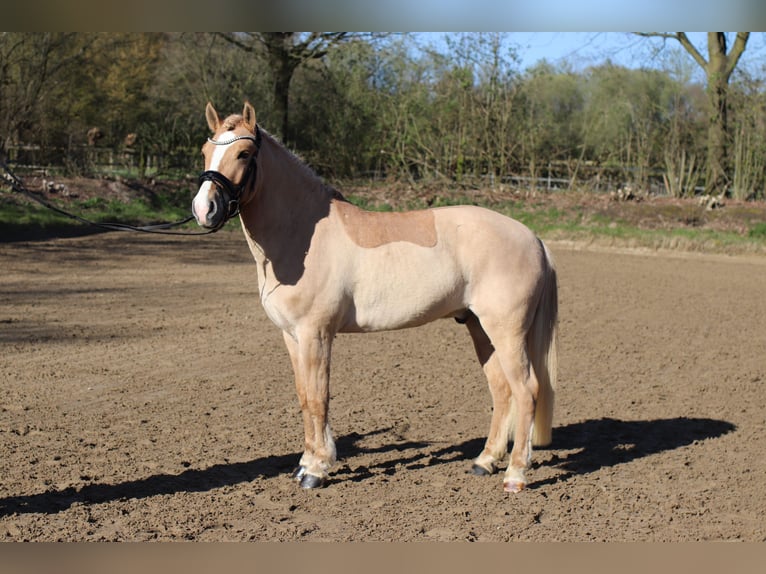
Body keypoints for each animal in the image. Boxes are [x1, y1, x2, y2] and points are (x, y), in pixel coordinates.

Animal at [192, 102, 558, 493]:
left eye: (244, 154)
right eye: (205, 150)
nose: (203, 209)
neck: (302, 236)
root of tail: (533, 238)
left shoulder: (315, 335)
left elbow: (319, 398)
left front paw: (316, 470)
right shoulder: (291, 336)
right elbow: (305, 397)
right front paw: (306, 463)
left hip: (506, 332)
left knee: (526, 391)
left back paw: (515, 475)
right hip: (479, 328)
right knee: (502, 391)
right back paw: (484, 462)